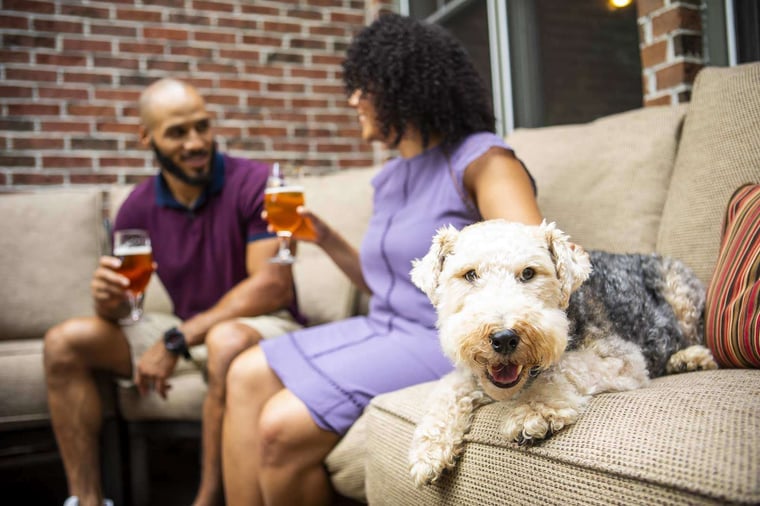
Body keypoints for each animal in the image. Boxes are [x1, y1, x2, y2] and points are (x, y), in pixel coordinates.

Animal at [406, 220, 716, 486]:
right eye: (470, 274)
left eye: (528, 273)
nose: (504, 338)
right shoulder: (473, 376)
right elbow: (449, 391)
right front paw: (430, 451)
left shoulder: (623, 359)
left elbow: (561, 369)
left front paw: (533, 413)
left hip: (680, 296)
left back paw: (690, 358)